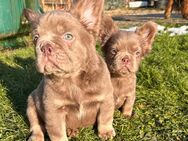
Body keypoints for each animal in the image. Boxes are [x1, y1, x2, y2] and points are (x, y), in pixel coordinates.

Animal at [23, 0, 114, 141]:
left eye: (68, 36)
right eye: (35, 38)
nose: (44, 46)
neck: (72, 78)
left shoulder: (106, 99)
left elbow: (105, 117)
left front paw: (106, 132)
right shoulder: (54, 111)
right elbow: (57, 133)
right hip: (31, 105)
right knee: (36, 125)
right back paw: (37, 136)